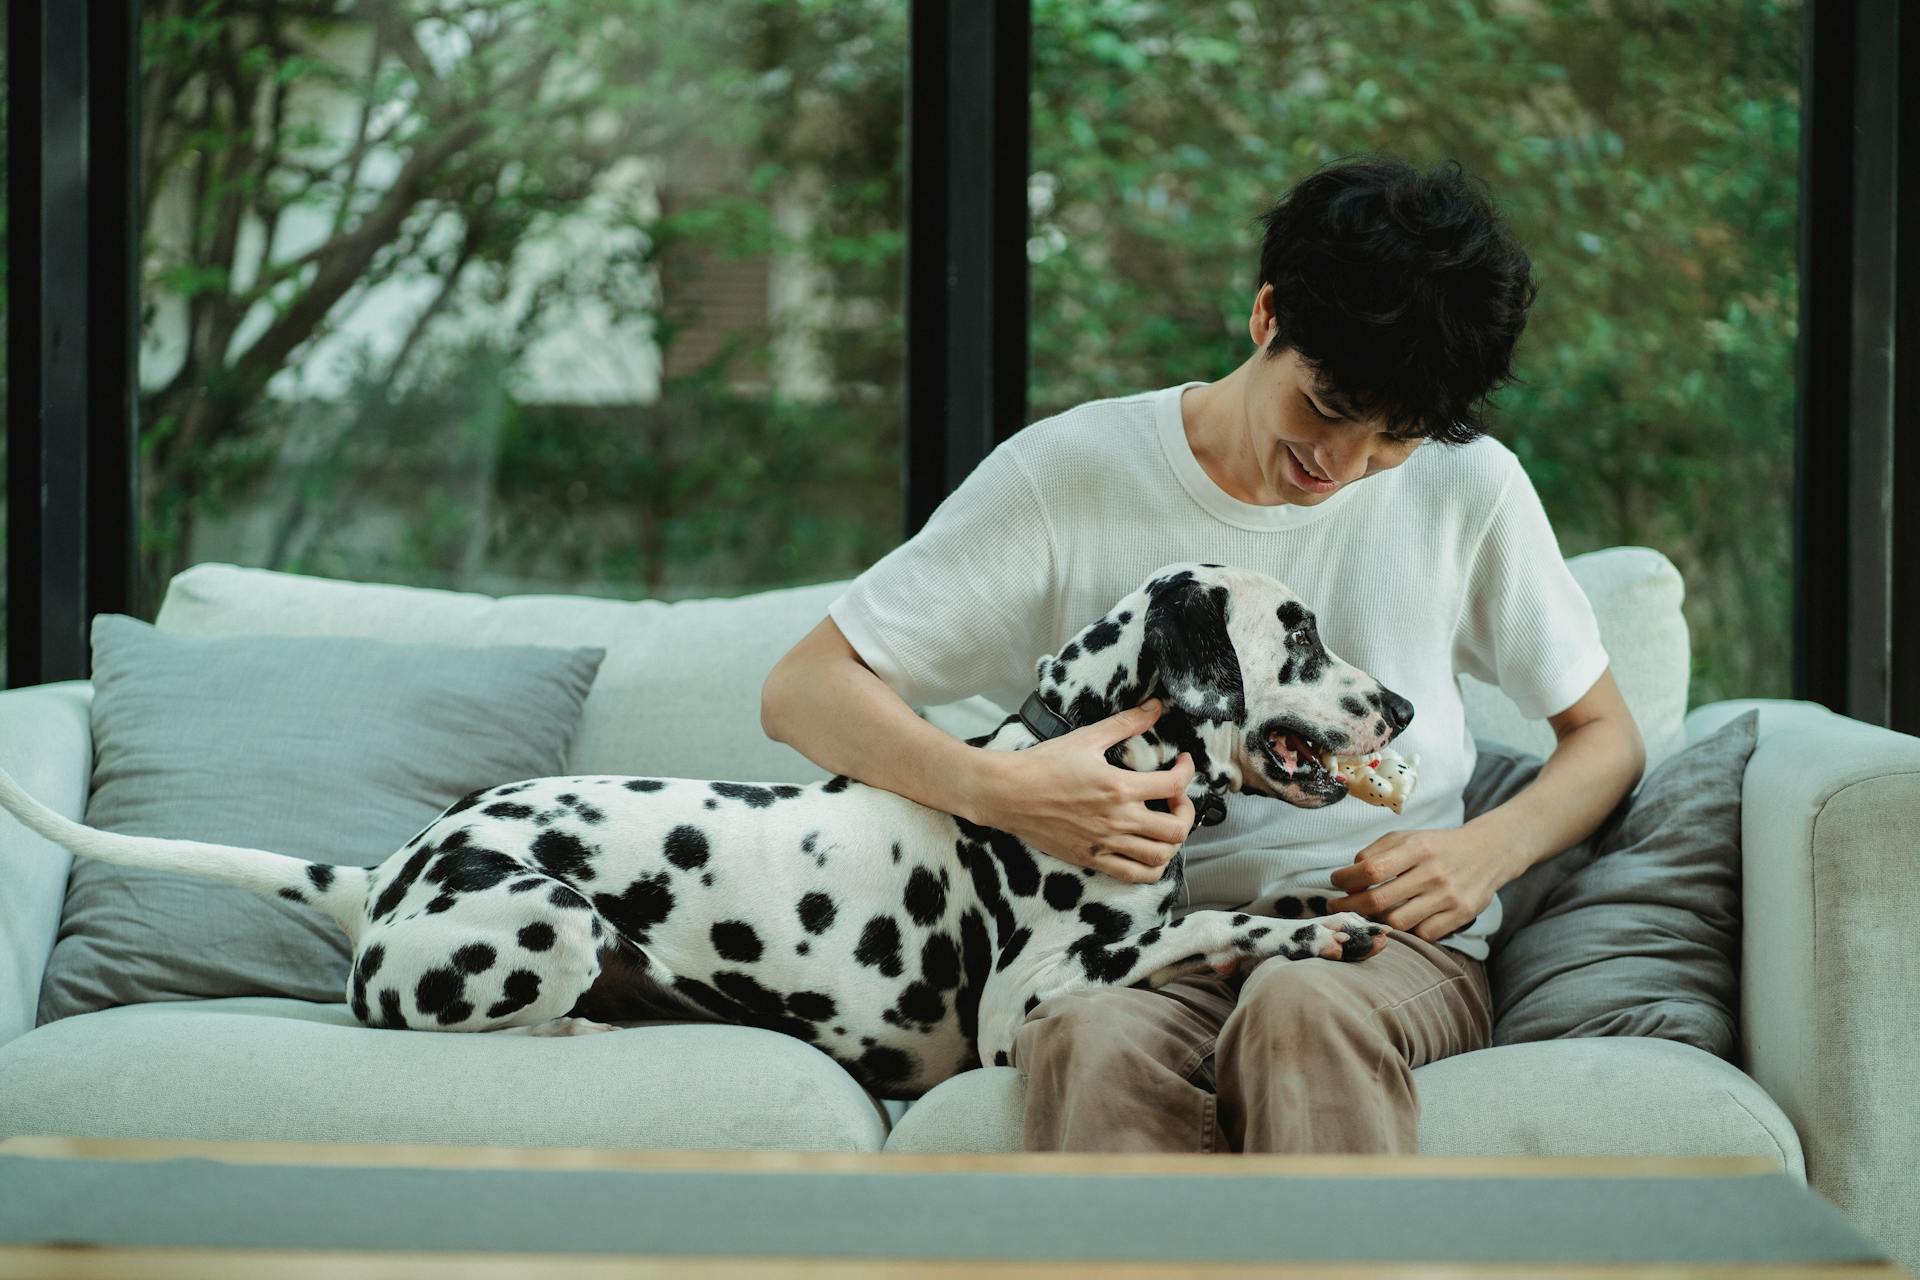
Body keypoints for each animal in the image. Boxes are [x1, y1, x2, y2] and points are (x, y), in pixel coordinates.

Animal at [0, 564, 1413, 1105]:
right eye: (1298, 630)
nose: (1400, 703)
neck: (1091, 747)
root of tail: (388, 873)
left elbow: (1229, 910)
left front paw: (1326, 909)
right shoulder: (1028, 1009)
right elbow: (1203, 929)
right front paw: (1298, 934)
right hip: (551, 914)